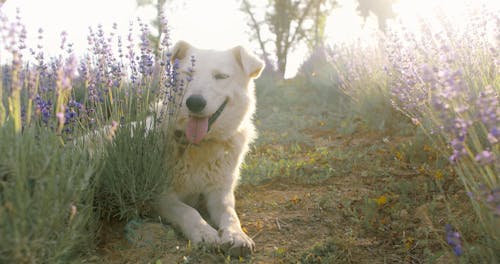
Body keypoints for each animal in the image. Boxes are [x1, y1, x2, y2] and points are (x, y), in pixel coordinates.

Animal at [153, 40, 264, 256]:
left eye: (221, 76)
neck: (199, 145)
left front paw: (237, 235)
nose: (194, 102)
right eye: (188, 73)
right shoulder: (160, 196)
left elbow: (230, 214)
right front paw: (205, 232)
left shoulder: (220, 193)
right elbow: (188, 210)